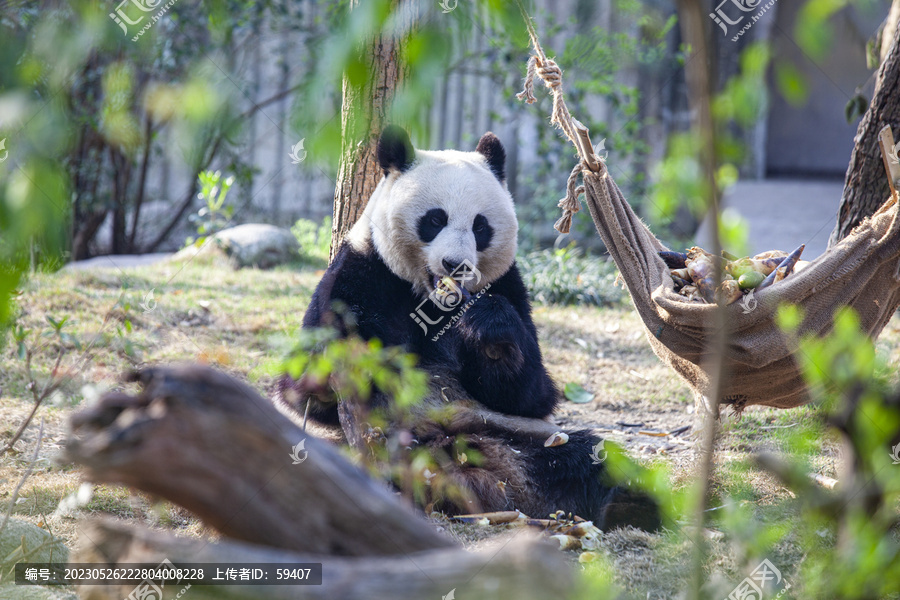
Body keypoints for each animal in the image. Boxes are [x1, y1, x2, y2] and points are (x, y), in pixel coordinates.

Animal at [282, 125, 660, 528]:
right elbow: (302, 389)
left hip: (514, 436)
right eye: (435, 219)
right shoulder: (357, 275)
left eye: (481, 226)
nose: (455, 265)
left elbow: (531, 395)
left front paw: (488, 330)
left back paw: (628, 504)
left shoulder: (509, 286)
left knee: (591, 455)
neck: (430, 300)